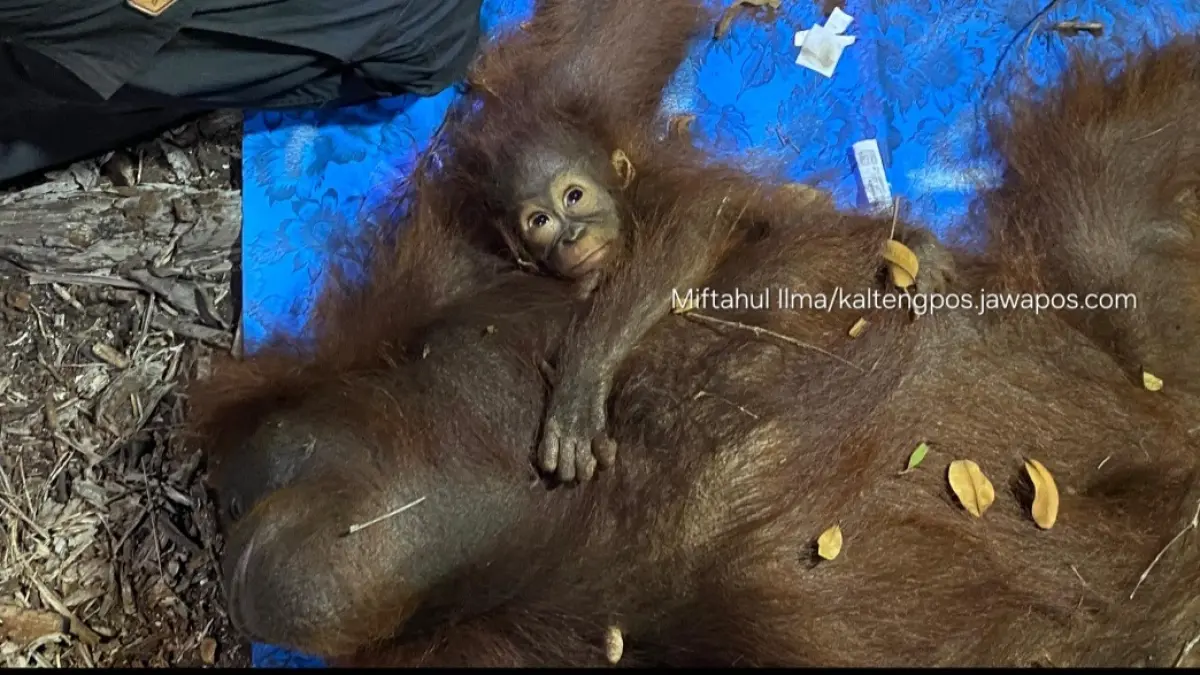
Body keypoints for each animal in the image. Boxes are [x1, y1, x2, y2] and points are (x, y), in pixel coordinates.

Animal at [194, 36, 1200, 667]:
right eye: (539, 218)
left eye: (574, 199)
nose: (231, 509)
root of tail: (1163, 416)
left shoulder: (454, 269)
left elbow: (599, 87)